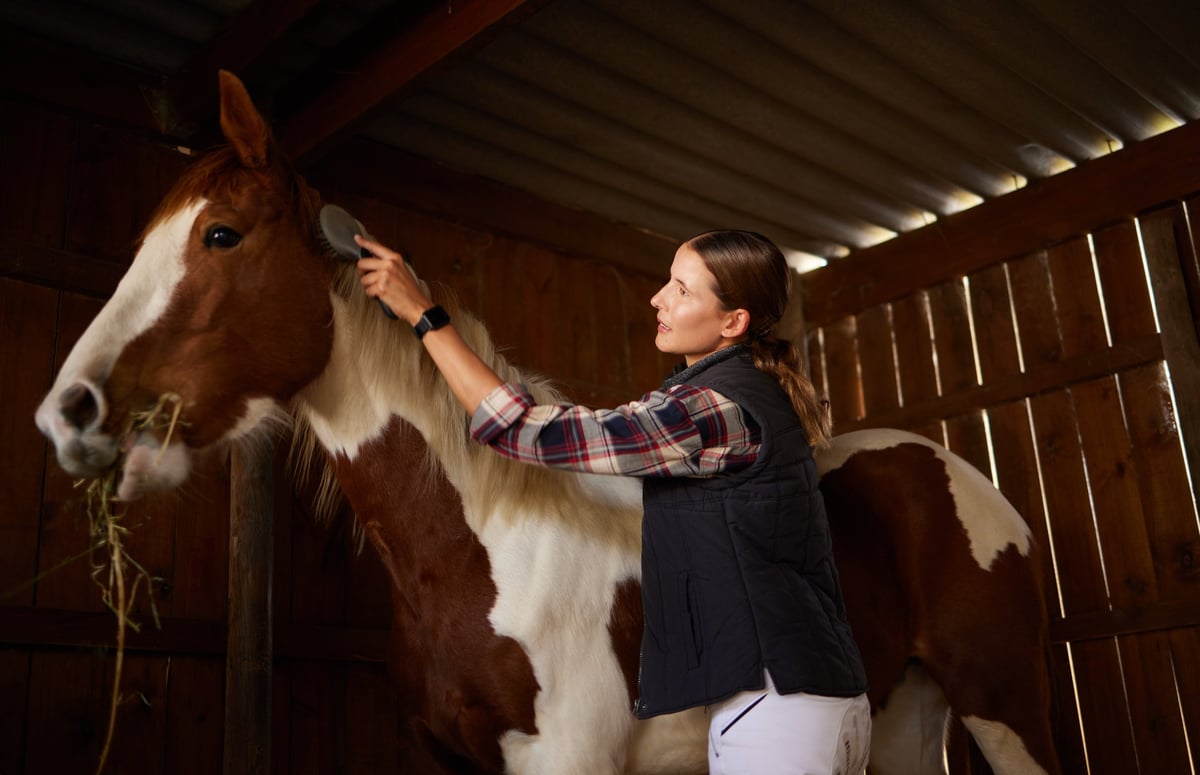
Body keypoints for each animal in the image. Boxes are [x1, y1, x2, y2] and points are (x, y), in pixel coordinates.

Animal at [35, 70, 1061, 774]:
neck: (485, 544)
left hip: (1006, 709)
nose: (69, 411)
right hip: (898, 718)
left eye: (221, 235)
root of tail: (951, 471)